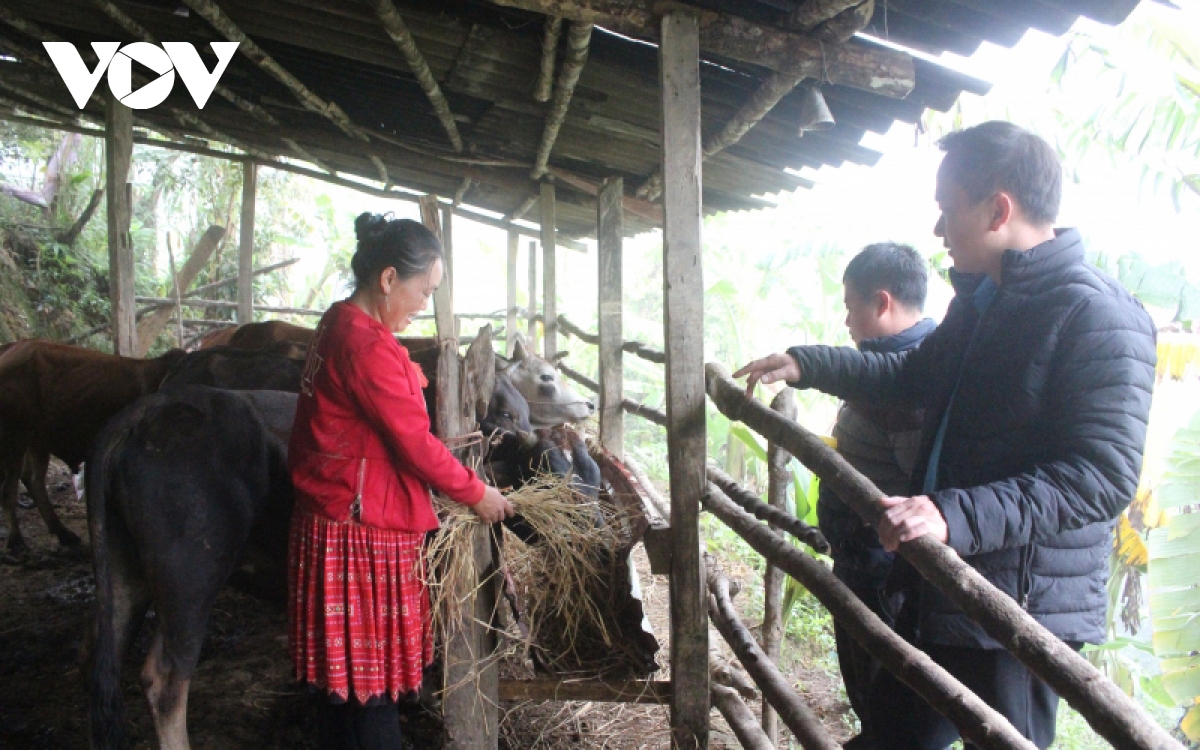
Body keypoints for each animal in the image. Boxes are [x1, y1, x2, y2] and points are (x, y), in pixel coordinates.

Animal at [0, 338, 184, 549]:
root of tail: (11, 348)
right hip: (16, 437)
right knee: (9, 488)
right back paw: (16, 540)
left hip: (36, 442)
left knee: (33, 480)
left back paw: (63, 533)